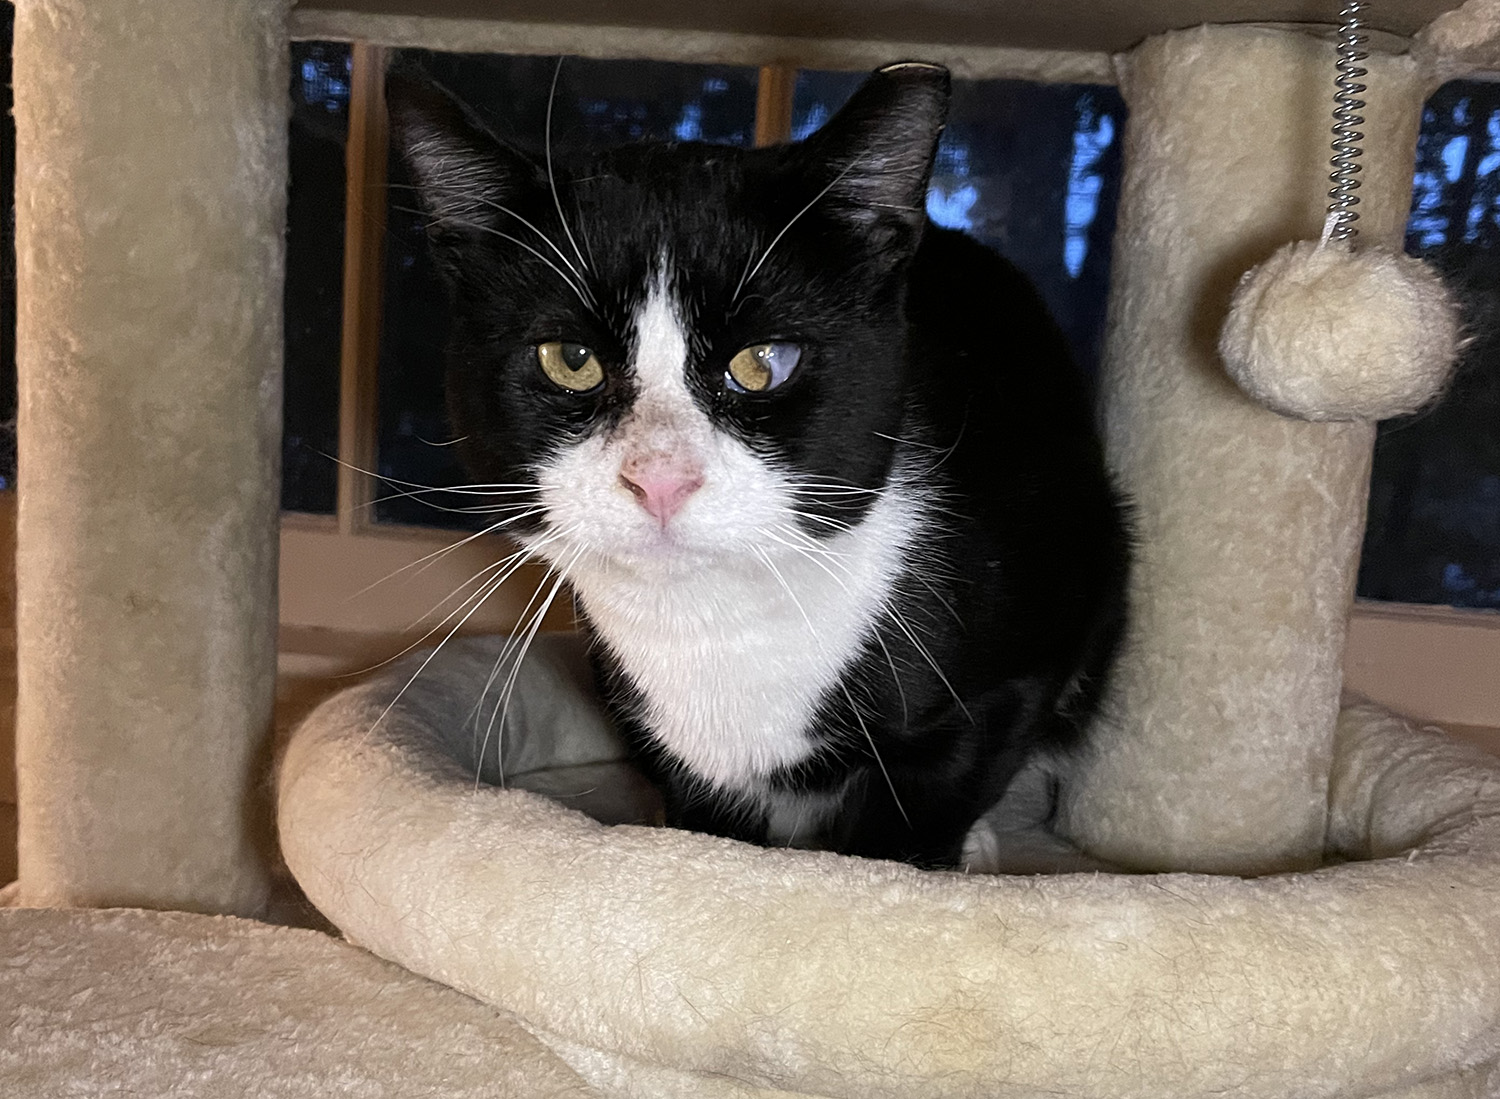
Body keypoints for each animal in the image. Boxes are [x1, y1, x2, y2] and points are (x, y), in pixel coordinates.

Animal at [387, 61, 1131, 869]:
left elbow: (920, 817)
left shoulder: (1003, 686)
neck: (717, 622)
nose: (661, 477)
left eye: (764, 361)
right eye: (571, 360)